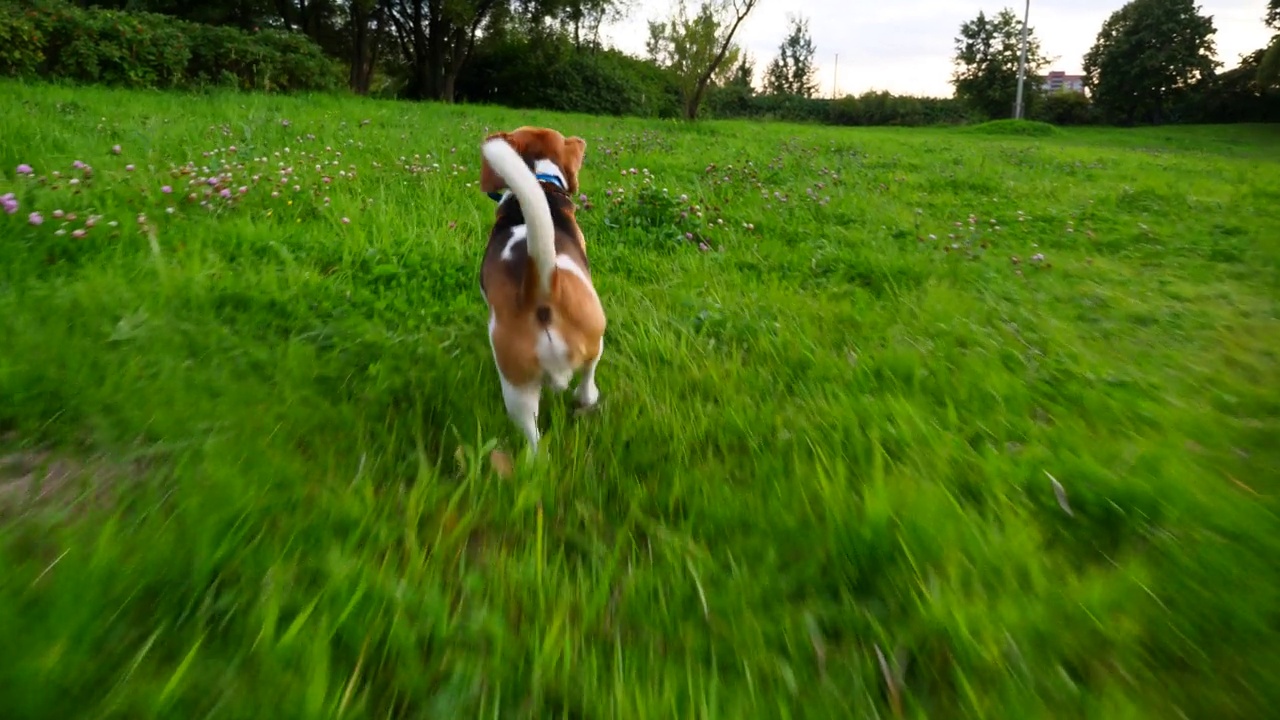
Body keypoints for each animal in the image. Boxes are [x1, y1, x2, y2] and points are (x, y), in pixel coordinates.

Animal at [481, 124, 604, 448]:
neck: (540, 178)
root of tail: (541, 288)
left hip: (517, 385)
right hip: (595, 330)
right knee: (588, 375)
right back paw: (587, 398)